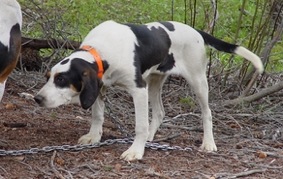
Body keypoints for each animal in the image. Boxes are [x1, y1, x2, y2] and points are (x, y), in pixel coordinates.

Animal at [34, 20, 266, 162]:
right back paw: (152, 137)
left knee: (207, 113)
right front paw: (94, 137)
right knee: (161, 112)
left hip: (197, 81)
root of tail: (195, 31)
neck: (101, 51)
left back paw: (208, 143)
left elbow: (140, 125)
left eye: (61, 79)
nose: (37, 98)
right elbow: (98, 116)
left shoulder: (138, 90)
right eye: (48, 77)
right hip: (154, 81)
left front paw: (135, 151)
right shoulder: (101, 86)